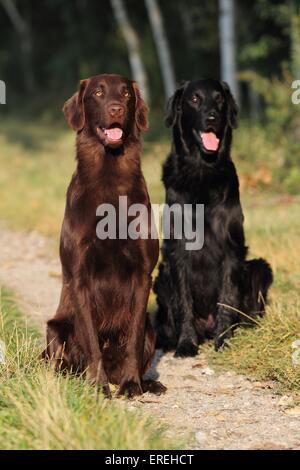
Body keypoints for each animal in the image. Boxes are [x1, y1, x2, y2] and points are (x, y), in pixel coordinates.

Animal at [43, 73, 166, 396]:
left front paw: (131, 384)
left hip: (152, 328)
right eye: (98, 93)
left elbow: (133, 341)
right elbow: (91, 341)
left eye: (126, 94)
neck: (110, 179)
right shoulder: (79, 276)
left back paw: (148, 383)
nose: (116, 109)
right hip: (55, 327)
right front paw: (98, 386)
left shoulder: (142, 274)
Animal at [154, 79, 274, 356]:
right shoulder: (176, 250)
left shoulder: (231, 248)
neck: (201, 170)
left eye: (219, 99)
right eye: (194, 99)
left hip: (260, 267)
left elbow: (226, 299)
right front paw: (186, 343)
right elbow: (184, 302)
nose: (212, 117)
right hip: (161, 277)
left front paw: (224, 339)